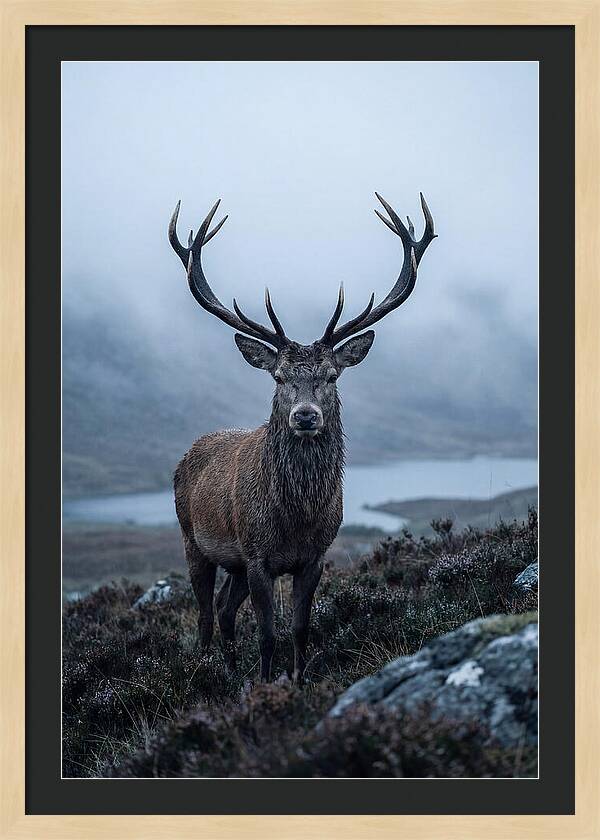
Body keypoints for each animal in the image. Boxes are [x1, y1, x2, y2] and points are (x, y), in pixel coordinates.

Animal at [169, 192, 435, 682]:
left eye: (331, 375)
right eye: (278, 377)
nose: (306, 415)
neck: (295, 518)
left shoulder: (313, 557)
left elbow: (299, 628)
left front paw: (296, 680)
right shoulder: (257, 556)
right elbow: (267, 634)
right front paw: (265, 683)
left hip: (233, 562)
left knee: (224, 610)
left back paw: (230, 670)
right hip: (193, 539)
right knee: (204, 614)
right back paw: (207, 669)